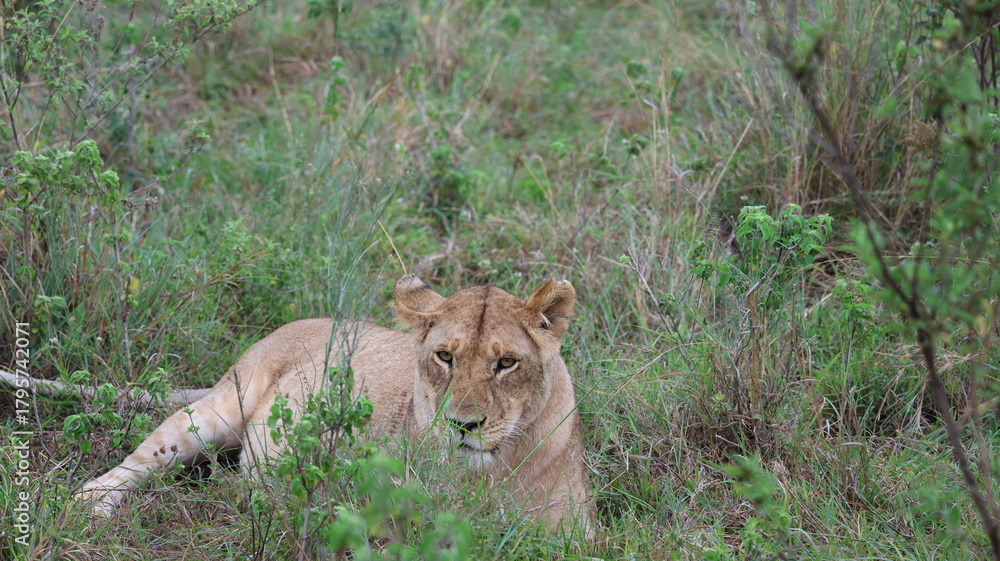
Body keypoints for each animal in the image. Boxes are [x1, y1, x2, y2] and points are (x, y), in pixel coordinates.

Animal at [24, 275, 592, 533]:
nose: (462, 426)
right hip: (212, 413)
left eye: (506, 364)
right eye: (445, 357)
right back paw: (89, 506)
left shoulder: (574, 534)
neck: (489, 472)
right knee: (140, 460)